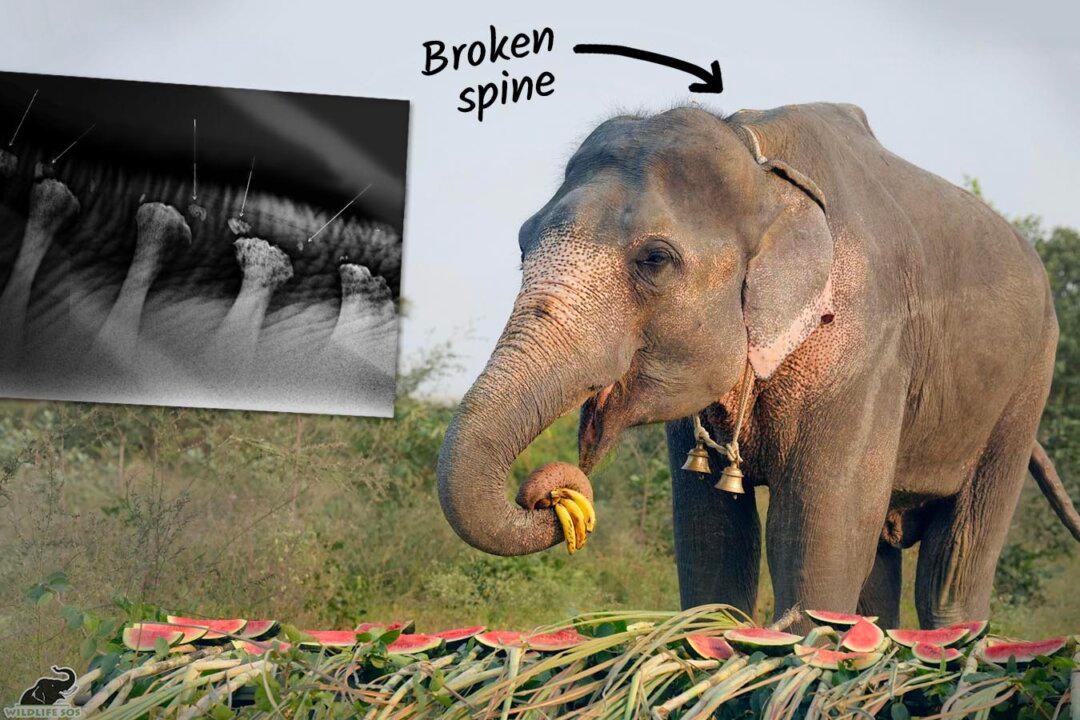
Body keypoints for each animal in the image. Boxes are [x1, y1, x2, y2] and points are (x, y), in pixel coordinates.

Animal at [437, 102, 1080, 629]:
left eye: (654, 260)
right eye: (523, 241)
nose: (550, 495)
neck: (758, 159)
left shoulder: (864, 344)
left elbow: (817, 530)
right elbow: (712, 534)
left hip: (1026, 386)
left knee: (953, 567)